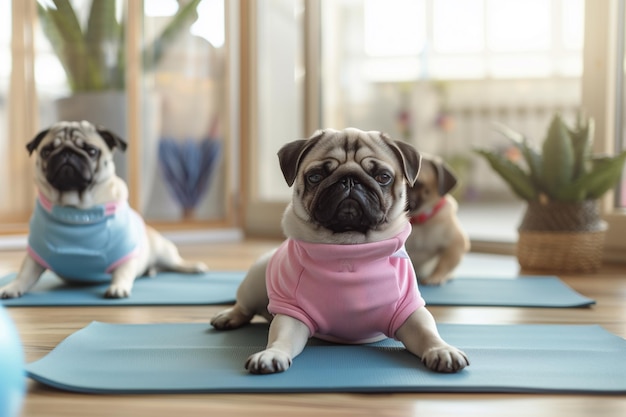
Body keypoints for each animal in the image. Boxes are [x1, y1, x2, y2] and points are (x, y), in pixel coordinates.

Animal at [0, 118, 210, 298]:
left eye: (91, 151)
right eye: (47, 150)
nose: (67, 153)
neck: (76, 209)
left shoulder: (125, 253)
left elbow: (123, 272)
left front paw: (118, 287)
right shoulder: (35, 255)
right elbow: (25, 273)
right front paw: (12, 287)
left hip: (163, 251)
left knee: (176, 263)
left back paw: (194, 266)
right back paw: (151, 271)